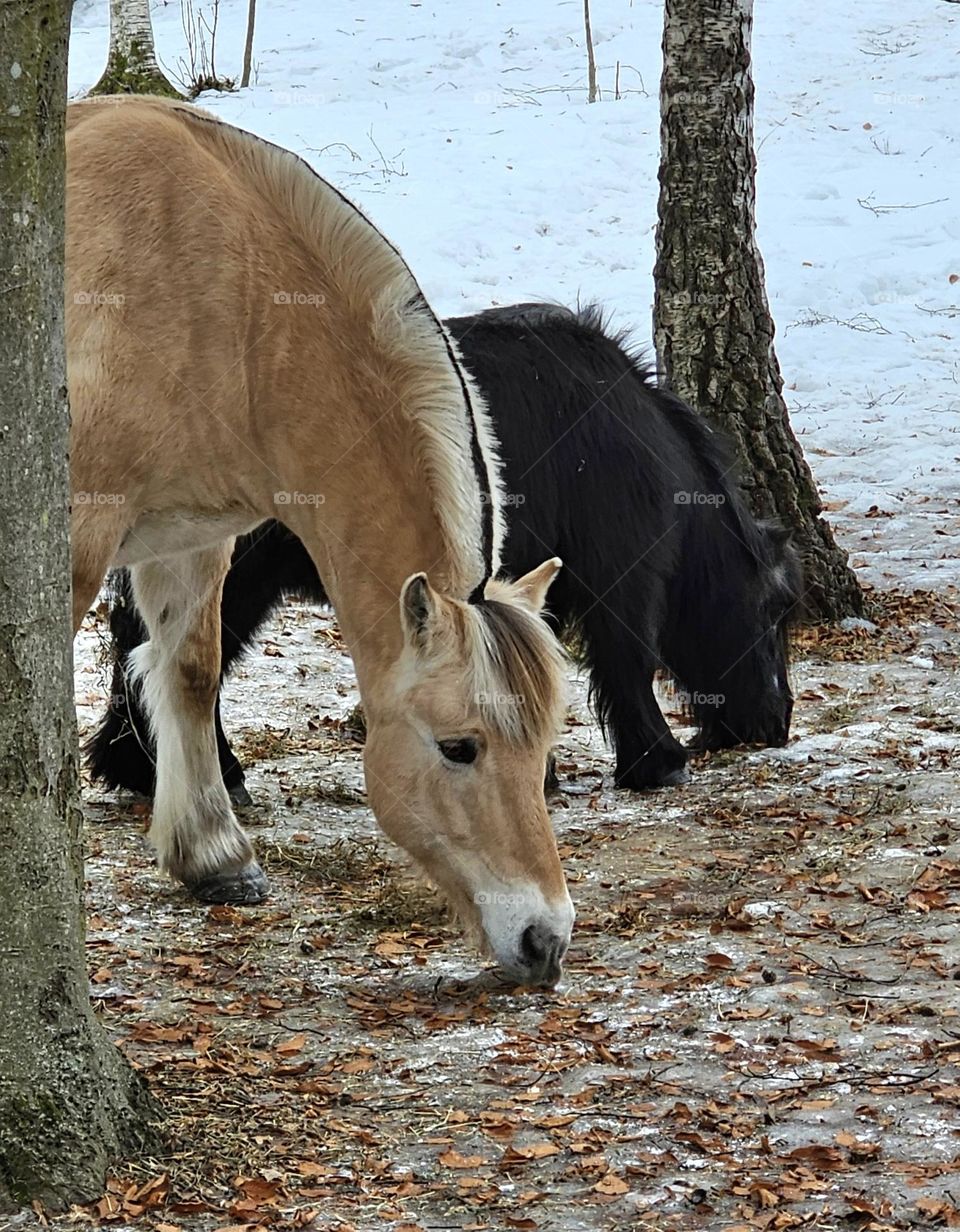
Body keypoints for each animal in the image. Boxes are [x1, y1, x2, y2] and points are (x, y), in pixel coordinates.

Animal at [66, 97, 572, 987]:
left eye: (544, 747)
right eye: (458, 747)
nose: (546, 940)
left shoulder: (188, 539)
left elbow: (190, 673)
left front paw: (215, 856)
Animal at [86, 301, 799, 804]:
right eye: (775, 609)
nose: (776, 722)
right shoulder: (620, 576)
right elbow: (627, 660)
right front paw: (658, 761)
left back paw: (139, 769)